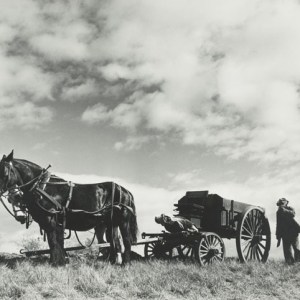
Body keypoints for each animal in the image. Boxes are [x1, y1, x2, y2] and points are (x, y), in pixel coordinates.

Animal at [0, 151, 138, 266]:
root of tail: (125, 190)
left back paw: (125, 264)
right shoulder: (54, 223)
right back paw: (113, 262)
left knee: (126, 241)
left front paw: (56, 263)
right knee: (113, 242)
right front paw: (60, 261)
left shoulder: (51, 219)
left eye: (4, 172)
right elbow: (56, 242)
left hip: (123, 221)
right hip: (111, 222)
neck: (43, 187)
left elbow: (53, 242)